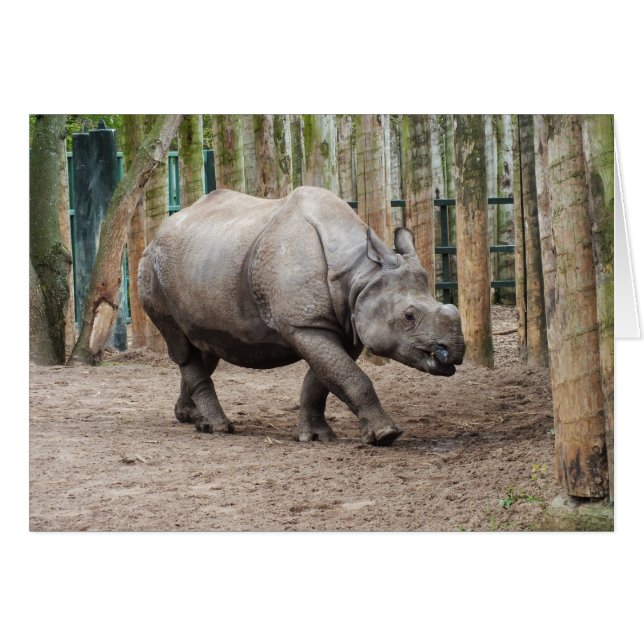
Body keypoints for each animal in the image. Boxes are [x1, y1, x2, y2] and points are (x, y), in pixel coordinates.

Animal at [138, 186, 465, 446]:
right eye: (409, 316)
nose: (455, 351)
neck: (361, 274)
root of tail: (155, 235)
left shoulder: (343, 326)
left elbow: (322, 380)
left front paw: (316, 437)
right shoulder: (305, 325)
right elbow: (350, 377)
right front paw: (386, 435)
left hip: (202, 262)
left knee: (203, 345)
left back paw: (191, 417)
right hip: (151, 268)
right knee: (181, 344)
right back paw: (219, 428)